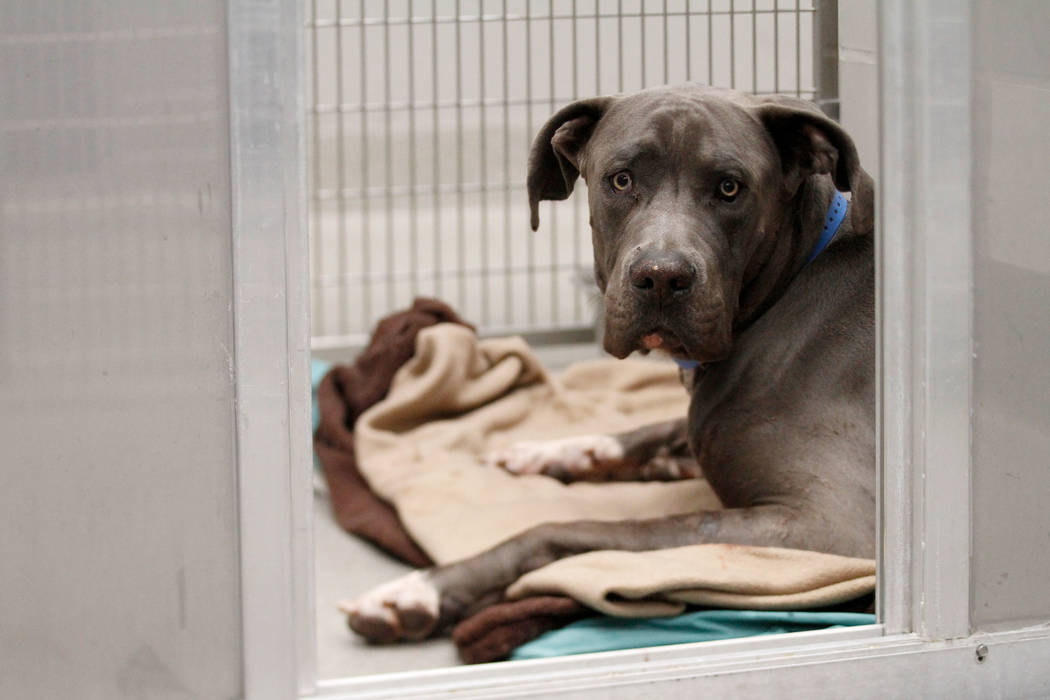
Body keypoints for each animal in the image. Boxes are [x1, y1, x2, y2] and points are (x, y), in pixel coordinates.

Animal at [340, 85, 873, 642]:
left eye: (730, 188)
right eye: (621, 180)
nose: (661, 276)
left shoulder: (826, 525)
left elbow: (576, 530)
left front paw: (423, 590)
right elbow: (644, 431)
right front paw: (547, 453)